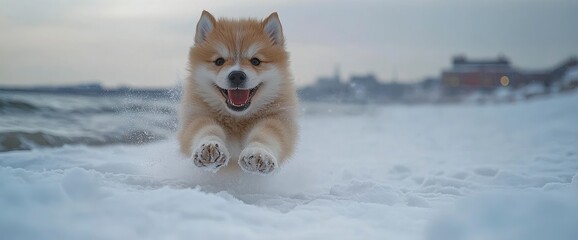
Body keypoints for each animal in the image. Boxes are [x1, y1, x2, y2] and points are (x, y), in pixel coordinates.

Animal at [178, 10, 296, 174]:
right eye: (219, 61)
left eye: (256, 61)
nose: (237, 76)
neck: (237, 119)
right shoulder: (198, 115)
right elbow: (206, 129)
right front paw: (209, 147)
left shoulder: (277, 119)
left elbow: (266, 135)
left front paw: (259, 153)